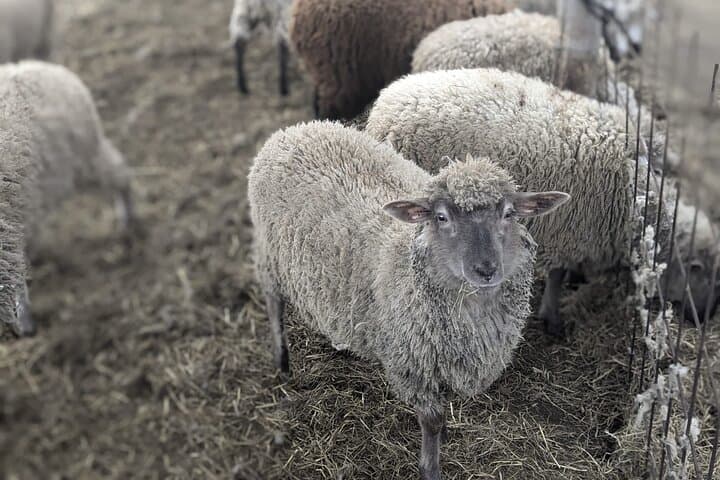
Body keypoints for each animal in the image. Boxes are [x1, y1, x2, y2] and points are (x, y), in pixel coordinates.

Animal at [248, 121, 569, 479]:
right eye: (441, 217)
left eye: (509, 213)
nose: (486, 270)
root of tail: (295, 129)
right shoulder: (413, 363)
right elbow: (431, 419)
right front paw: (430, 466)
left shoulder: (444, 356)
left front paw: (446, 436)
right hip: (270, 257)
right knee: (273, 305)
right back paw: (282, 364)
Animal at [365, 68, 718, 335]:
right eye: (700, 272)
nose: (706, 317)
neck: (635, 203)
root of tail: (386, 103)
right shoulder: (570, 227)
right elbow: (557, 275)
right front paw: (553, 317)